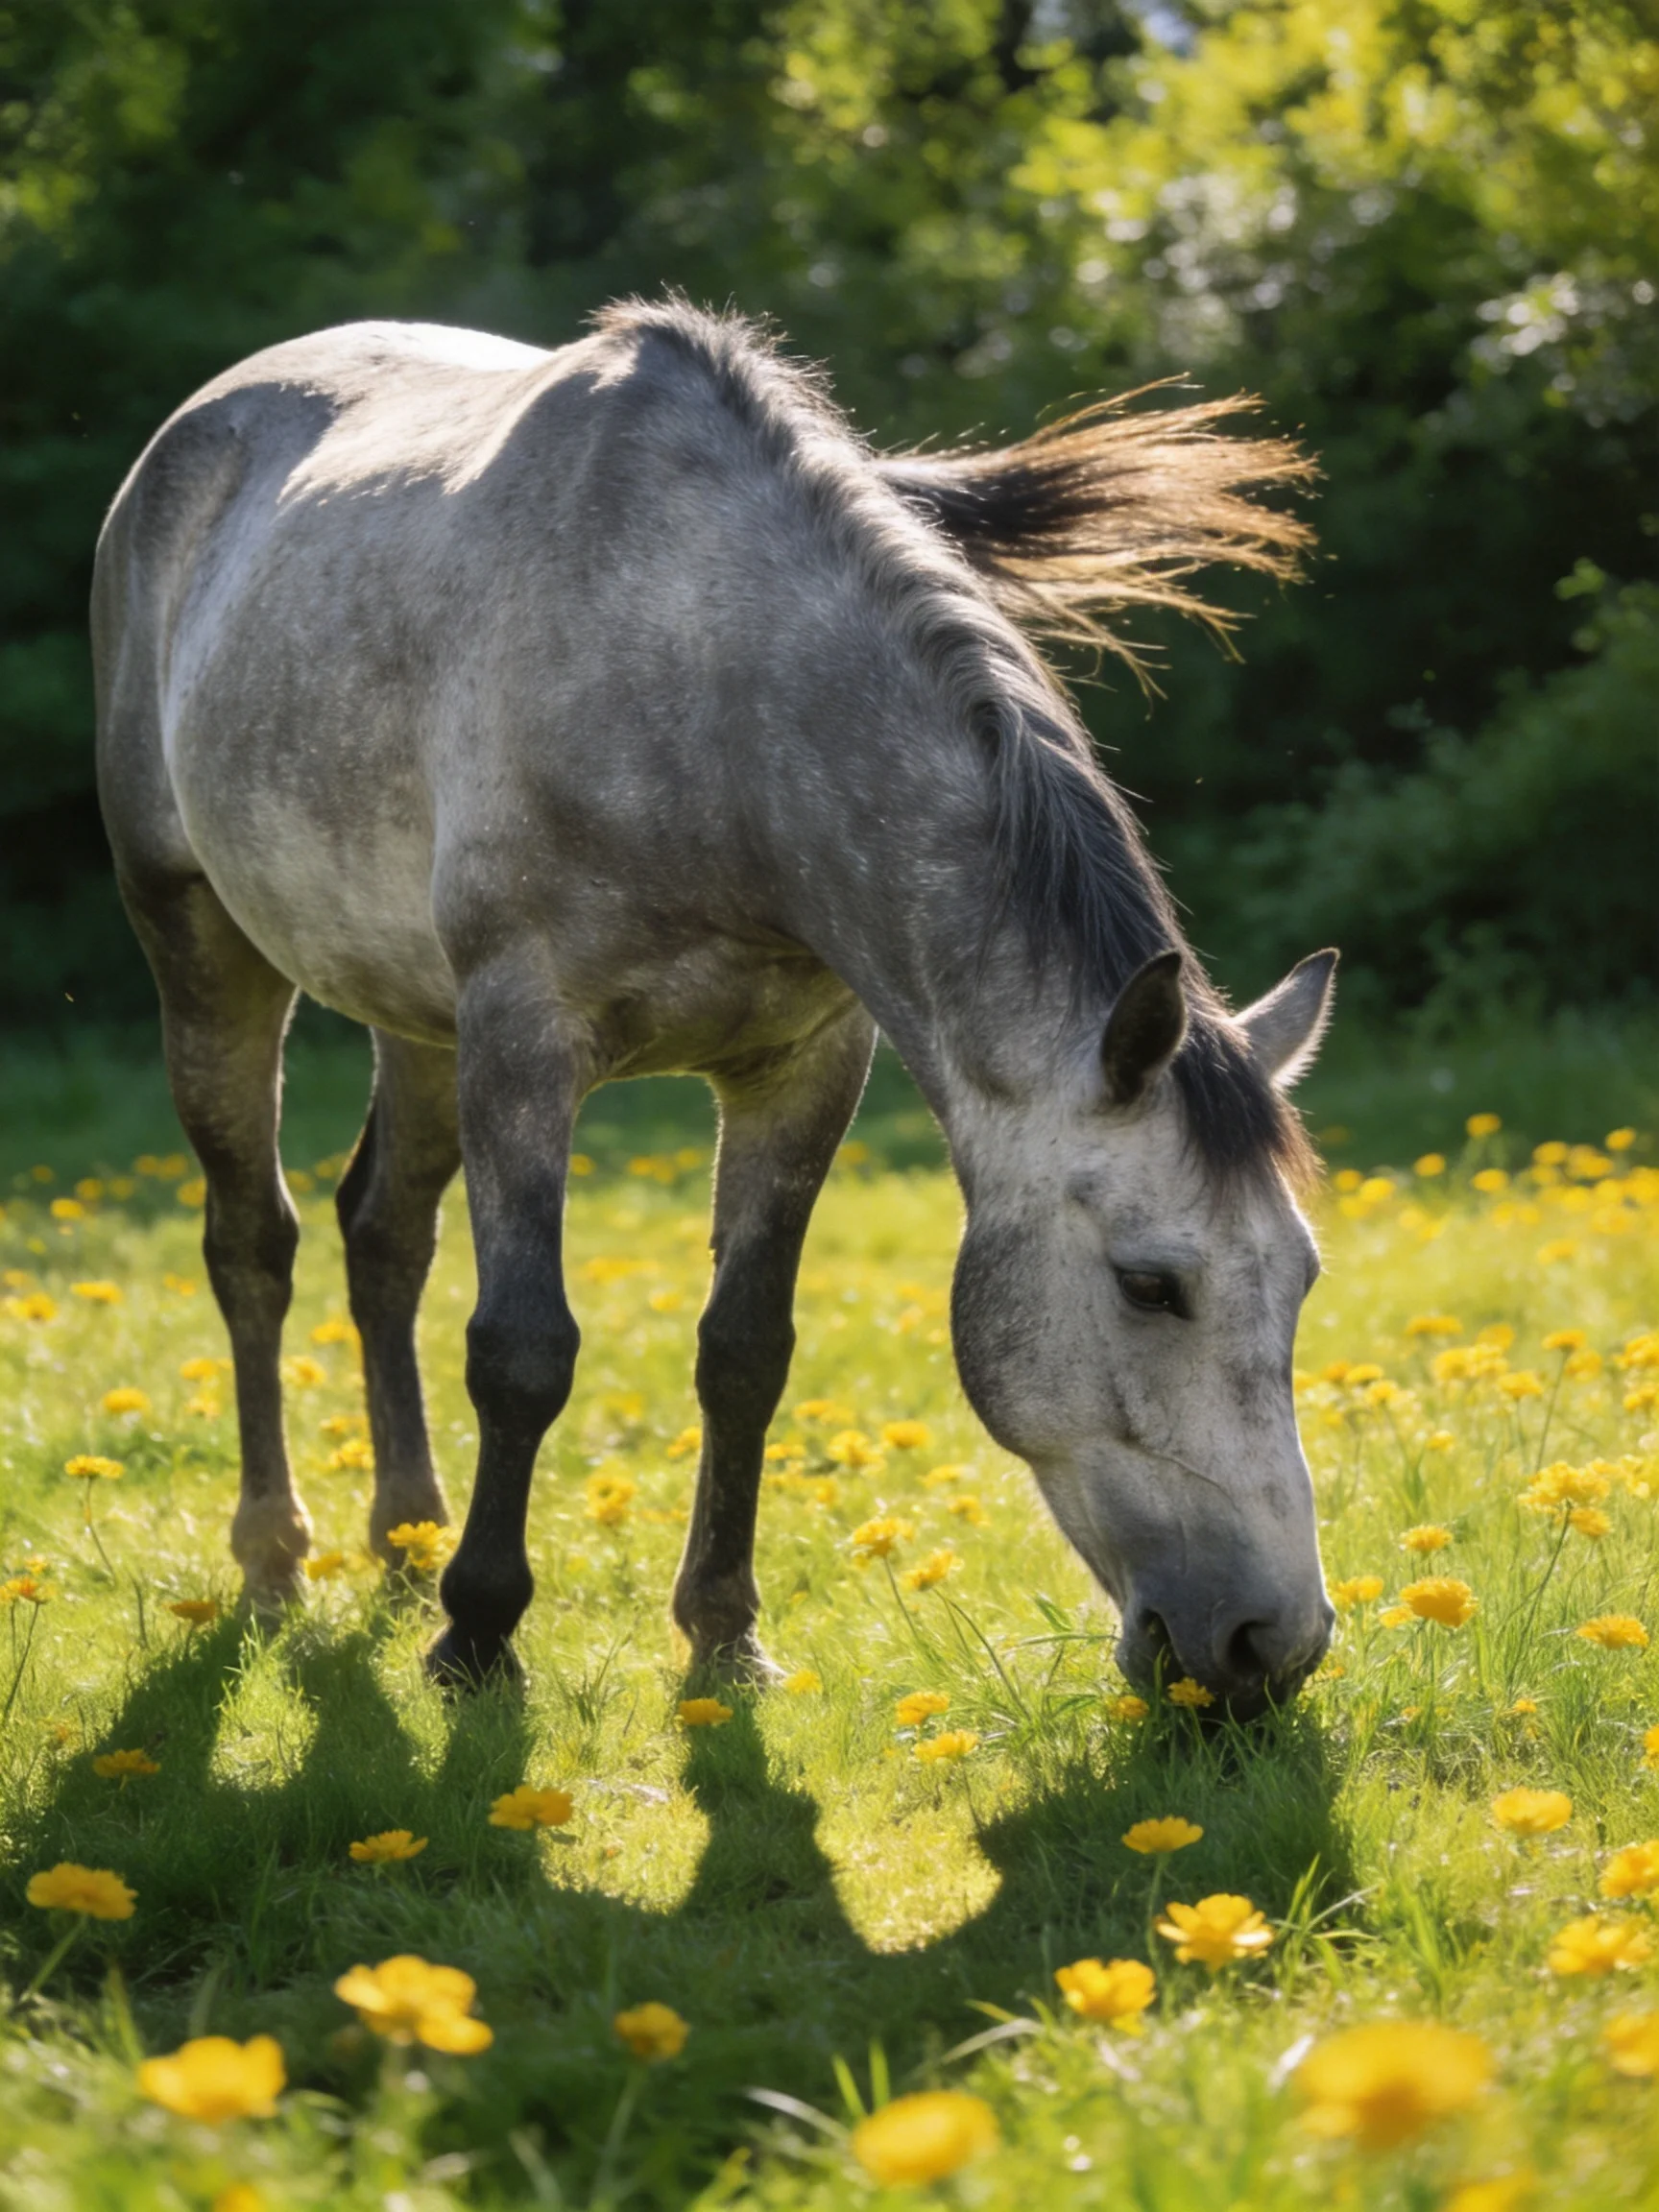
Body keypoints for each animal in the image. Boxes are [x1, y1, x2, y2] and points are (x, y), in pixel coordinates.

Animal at [93, 300, 1337, 1717]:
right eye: (1150, 1286)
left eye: (1301, 1278)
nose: (1271, 1647)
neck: (712, 693)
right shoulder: (524, 1041)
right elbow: (522, 1349)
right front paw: (478, 1634)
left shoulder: (804, 1067)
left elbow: (747, 1353)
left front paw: (723, 1635)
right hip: (201, 942)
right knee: (255, 1243)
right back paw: (276, 1559)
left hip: (413, 1017)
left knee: (383, 1236)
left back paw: (403, 1540)